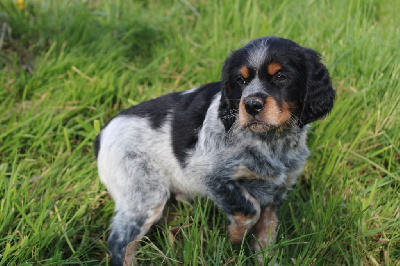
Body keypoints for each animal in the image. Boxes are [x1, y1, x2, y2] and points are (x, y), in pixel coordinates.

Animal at [95, 35, 336, 266]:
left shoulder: (276, 191)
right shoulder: (207, 174)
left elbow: (265, 236)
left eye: (281, 77)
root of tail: (102, 133)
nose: (252, 105)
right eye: (240, 80)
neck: (269, 140)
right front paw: (234, 237)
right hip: (145, 195)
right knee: (120, 242)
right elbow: (250, 209)